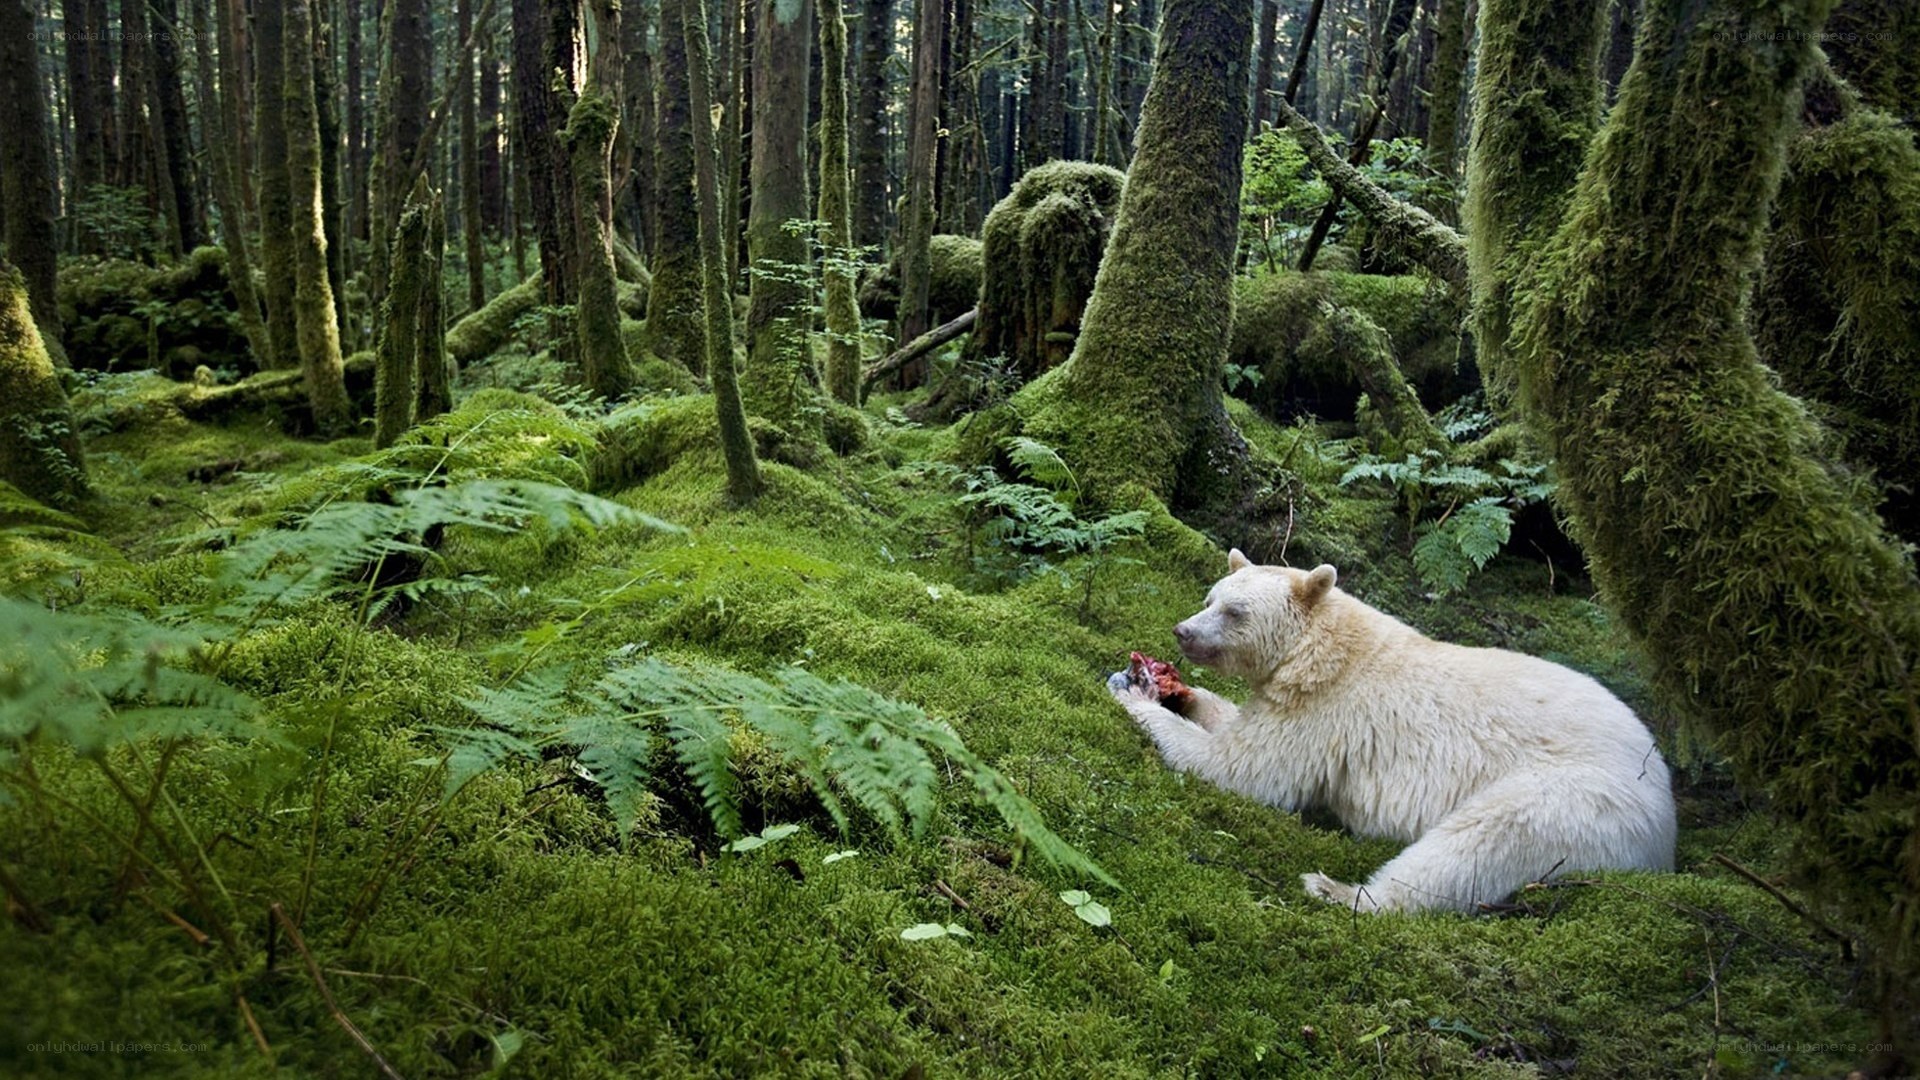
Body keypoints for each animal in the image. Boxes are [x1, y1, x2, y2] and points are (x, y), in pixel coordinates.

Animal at [1110, 548, 1677, 913]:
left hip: (1577, 800)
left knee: (1481, 843)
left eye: (1234, 611)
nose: (1183, 631)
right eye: (1210, 596)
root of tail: (1667, 817)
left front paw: (1133, 693)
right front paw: (1178, 691)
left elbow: (1246, 769)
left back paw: (1339, 890)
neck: (1321, 648)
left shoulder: (1327, 712)